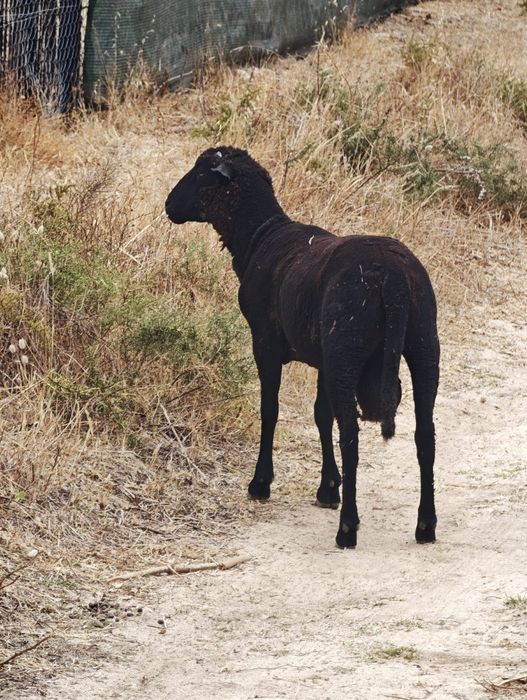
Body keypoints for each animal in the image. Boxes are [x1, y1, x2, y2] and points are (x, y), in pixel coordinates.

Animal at [165, 147, 440, 548]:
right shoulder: (324, 356)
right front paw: (328, 488)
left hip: (348, 347)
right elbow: (320, 415)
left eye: (201, 174)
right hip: (421, 344)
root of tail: (391, 277)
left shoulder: (265, 341)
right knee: (425, 435)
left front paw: (261, 483)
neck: (259, 236)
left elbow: (270, 410)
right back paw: (426, 525)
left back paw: (347, 529)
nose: (169, 205)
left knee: (352, 437)